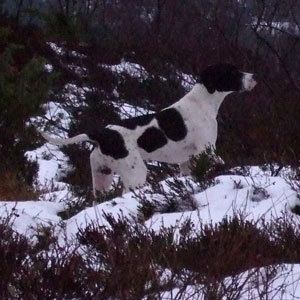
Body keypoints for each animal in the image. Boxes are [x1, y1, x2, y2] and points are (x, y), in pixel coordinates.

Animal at [40, 63, 258, 195]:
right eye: (233, 72)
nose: (254, 76)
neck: (203, 101)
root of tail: (103, 134)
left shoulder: (187, 162)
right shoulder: (208, 150)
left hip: (102, 177)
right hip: (135, 174)